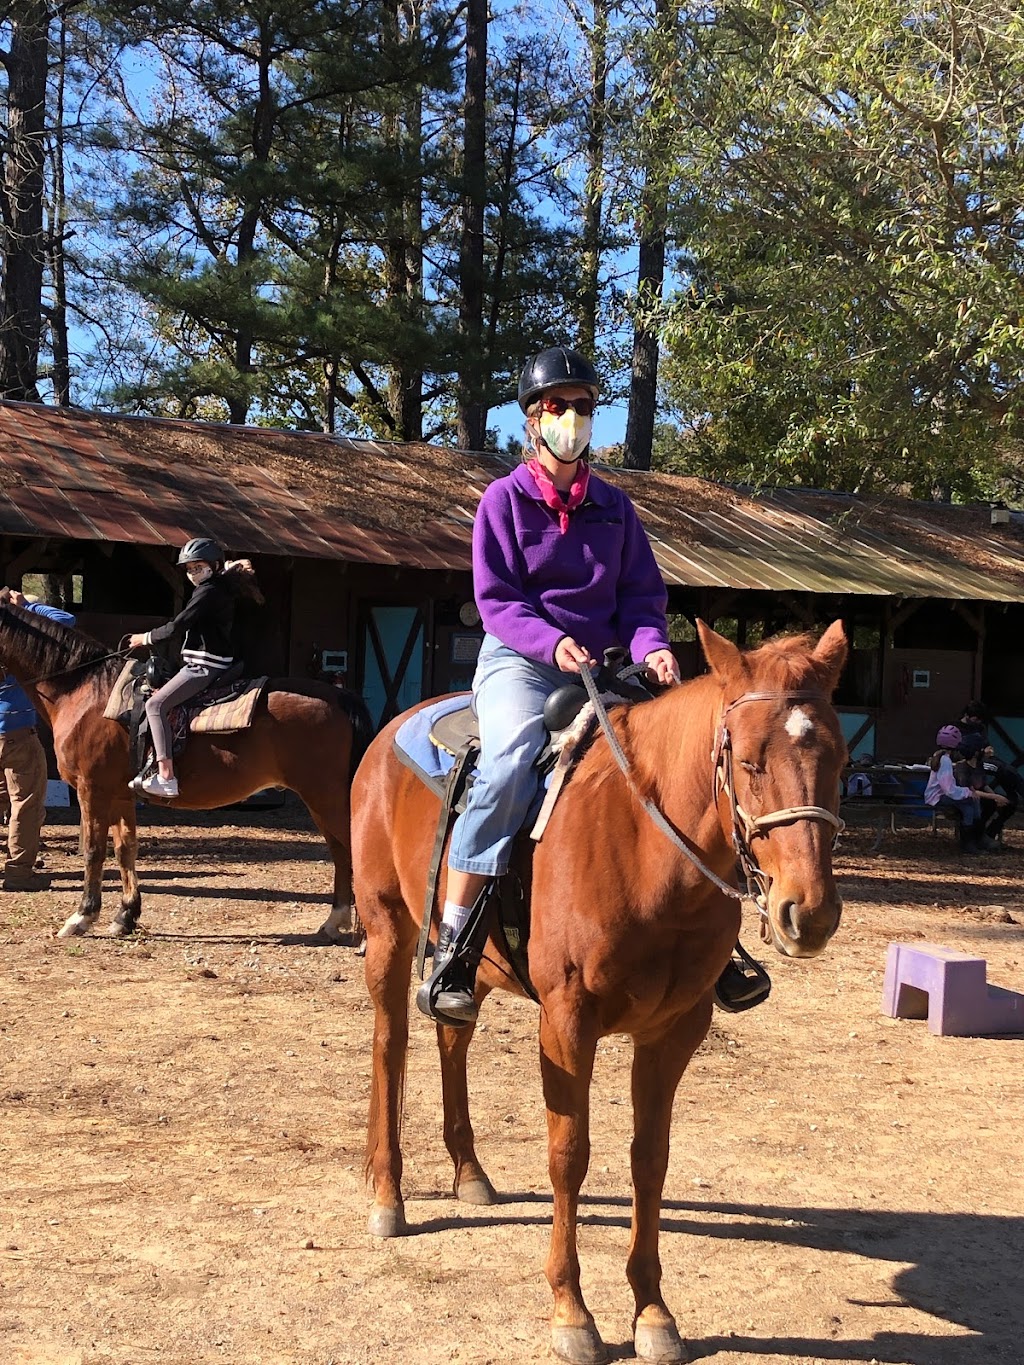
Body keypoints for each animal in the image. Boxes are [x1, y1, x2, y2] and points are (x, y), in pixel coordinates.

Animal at [0, 603, 374, 944]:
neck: (85, 693)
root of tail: (339, 696)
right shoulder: (120, 794)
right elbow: (125, 849)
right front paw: (125, 917)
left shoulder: (92, 790)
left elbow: (94, 851)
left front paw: (81, 917)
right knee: (341, 852)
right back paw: (334, 923)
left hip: (324, 797)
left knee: (352, 849)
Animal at [352, 622, 851, 1365]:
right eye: (751, 761)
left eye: (840, 758)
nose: (809, 913)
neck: (647, 848)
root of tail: (390, 732)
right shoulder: (567, 1024)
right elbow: (569, 1155)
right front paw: (572, 1311)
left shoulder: (675, 1031)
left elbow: (651, 1158)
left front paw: (653, 1312)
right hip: (388, 932)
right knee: (391, 1046)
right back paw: (388, 1196)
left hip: (467, 968)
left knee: (451, 1035)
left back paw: (469, 1171)